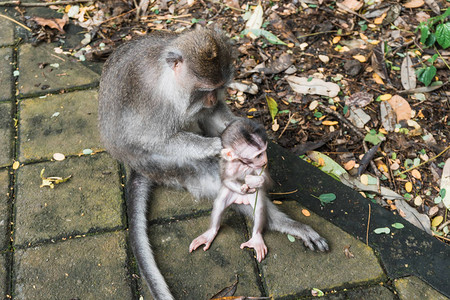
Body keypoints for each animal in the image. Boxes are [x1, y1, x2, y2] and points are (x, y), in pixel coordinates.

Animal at [189, 118, 268, 262]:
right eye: (258, 155)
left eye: (264, 151)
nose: (265, 159)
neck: (241, 163)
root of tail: (240, 200)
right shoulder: (227, 165)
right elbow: (225, 180)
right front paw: (244, 187)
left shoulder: (260, 167)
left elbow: (266, 181)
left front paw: (254, 181)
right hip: (229, 194)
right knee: (219, 203)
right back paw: (211, 232)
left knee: (258, 205)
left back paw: (256, 238)